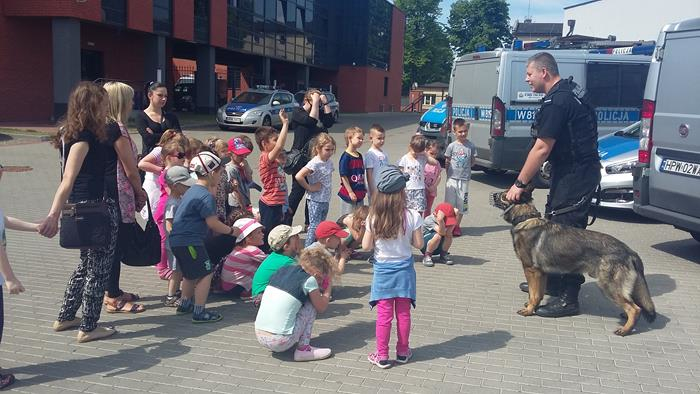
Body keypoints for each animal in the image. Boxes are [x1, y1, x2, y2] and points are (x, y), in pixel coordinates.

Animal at [486, 191, 656, 336]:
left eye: (504, 194)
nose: (492, 194)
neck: (525, 218)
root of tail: (630, 252)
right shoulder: (541, 273)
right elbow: (538, 293)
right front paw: (532, 306)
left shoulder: (531, 270)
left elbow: (533, 294)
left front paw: (529, 310)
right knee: (634, 304)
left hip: (608, 286)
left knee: (634, 309)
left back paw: (625, 330)